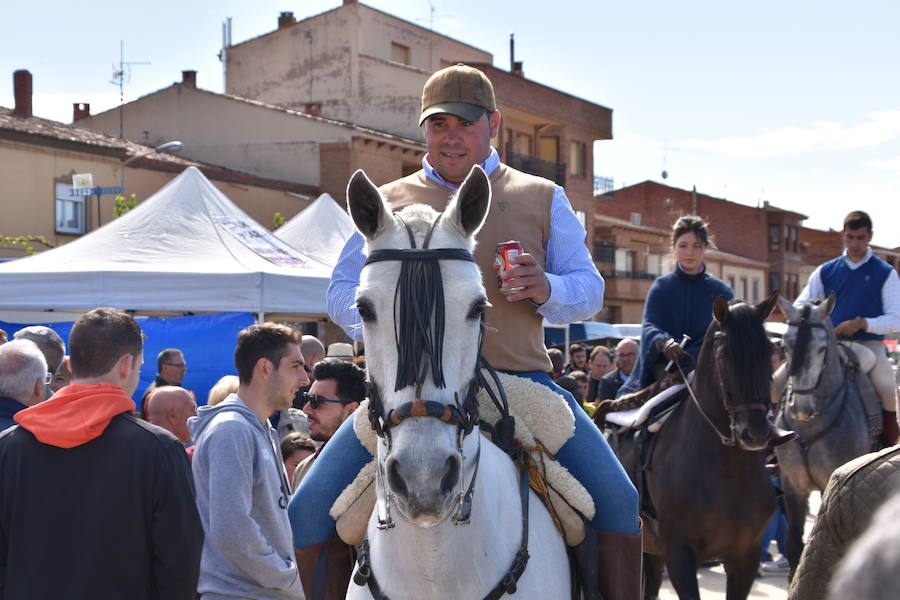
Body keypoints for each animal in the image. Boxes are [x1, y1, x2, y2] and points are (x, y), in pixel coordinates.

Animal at [624, 296, 776, 600]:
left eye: (769, 351)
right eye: (725, 355)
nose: (754, 433)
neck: (728, 469)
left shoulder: (745, 556)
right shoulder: (679, 552)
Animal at [772, 294, 880, 576]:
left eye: (821, 349)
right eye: (786, 346)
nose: (801, 407)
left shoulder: (830, 481)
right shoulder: (792, 484)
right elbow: (794, 545)